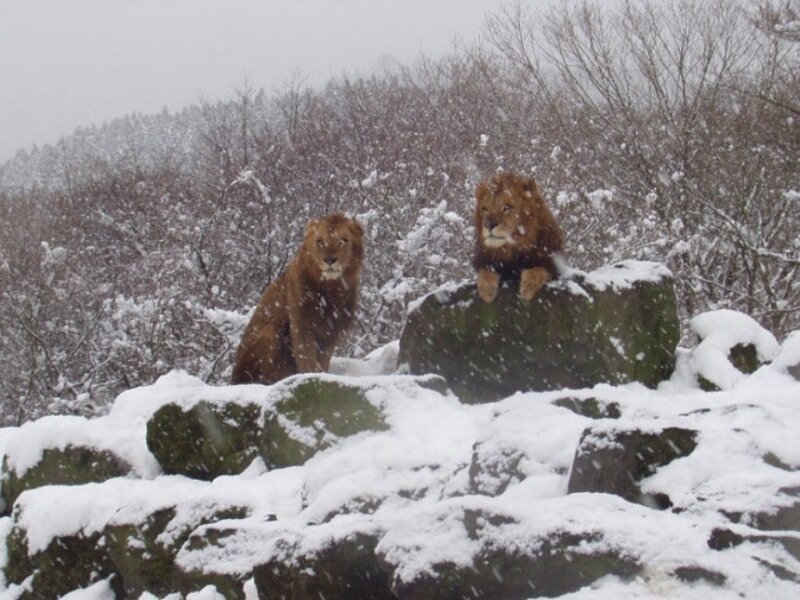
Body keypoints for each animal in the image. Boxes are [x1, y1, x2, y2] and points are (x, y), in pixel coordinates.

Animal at [231, 213, 364, 385]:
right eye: (320, 241)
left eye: (343, 241)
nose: (329, 260)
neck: (330, 289)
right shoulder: (302, 325)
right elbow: (307, 360)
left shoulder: (330, 332)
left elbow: (322, 362)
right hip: (268, 333)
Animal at [472, 172, 564, 303]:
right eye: (484, 209)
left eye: (507, 207)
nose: (489, 224)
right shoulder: (486, 260)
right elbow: (484, 270)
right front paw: (486, 290)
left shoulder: (553, 265)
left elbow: (541, 270)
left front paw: (528, 286)